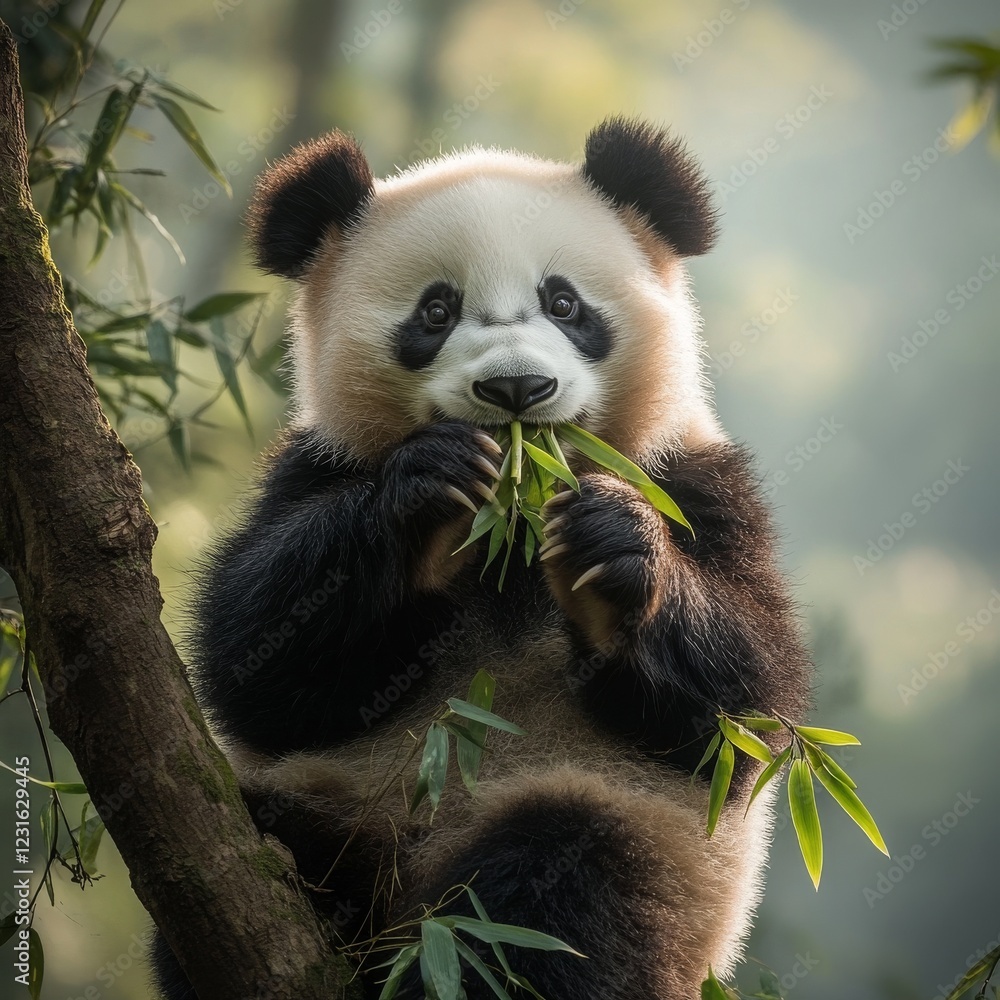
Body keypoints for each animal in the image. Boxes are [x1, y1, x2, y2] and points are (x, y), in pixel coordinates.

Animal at [153, 116, 812, 1000]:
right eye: (436, 310)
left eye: (564, 303)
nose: (516, 390)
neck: (514, 530)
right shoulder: (316, 467)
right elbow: (258, 665)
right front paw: (429, 491)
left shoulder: (692, 477)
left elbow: (741, 706)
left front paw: (609, 549)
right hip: (337, 802)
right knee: (267, 839)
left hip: (634, 838)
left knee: (556, 891)